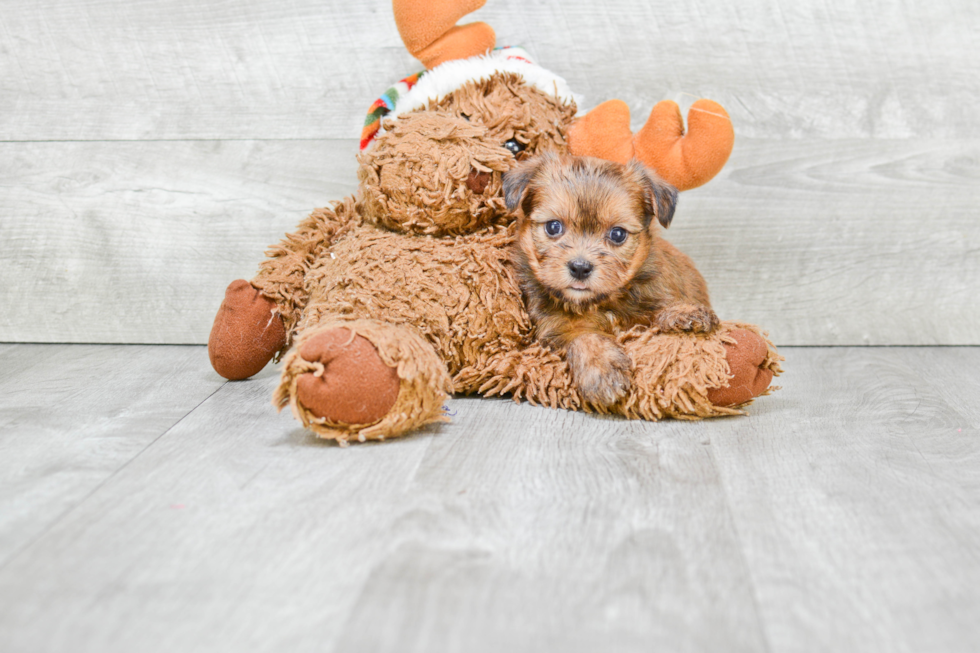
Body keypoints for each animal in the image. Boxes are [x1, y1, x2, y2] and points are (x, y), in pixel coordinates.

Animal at [506, 155, 720, 404]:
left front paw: (685, 312)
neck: (601, 302)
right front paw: (601, 369)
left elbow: (661, 308)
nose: (580, 268)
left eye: (617, 234)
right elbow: (585, 336)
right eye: (553, 227)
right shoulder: (555, 328)